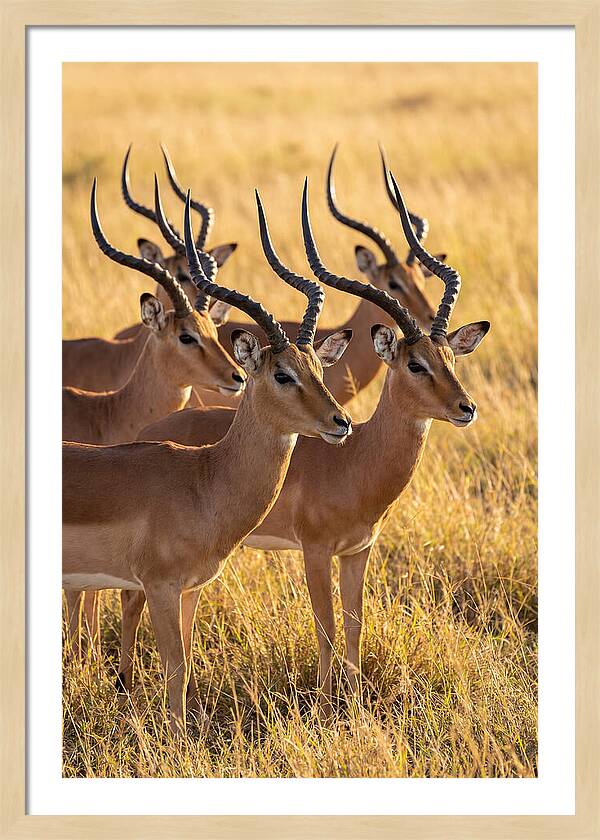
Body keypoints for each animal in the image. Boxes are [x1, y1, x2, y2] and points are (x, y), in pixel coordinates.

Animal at [63, 192, 353, 734]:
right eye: (282, 374)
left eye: (318, 369)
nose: (340, 422)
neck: (204, 481)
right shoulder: (158, 586)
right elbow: (175, 667)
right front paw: (176, 742)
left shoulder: (191, 588)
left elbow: (188, 659)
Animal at [125, 175, 489, 720]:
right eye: (415, 364)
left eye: (450, 357)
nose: (465, 408)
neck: (355, 460)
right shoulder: (315, 551)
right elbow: (326, 626)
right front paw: (322, 705)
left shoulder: (359, 551)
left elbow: (356, 624)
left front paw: (354, 701)